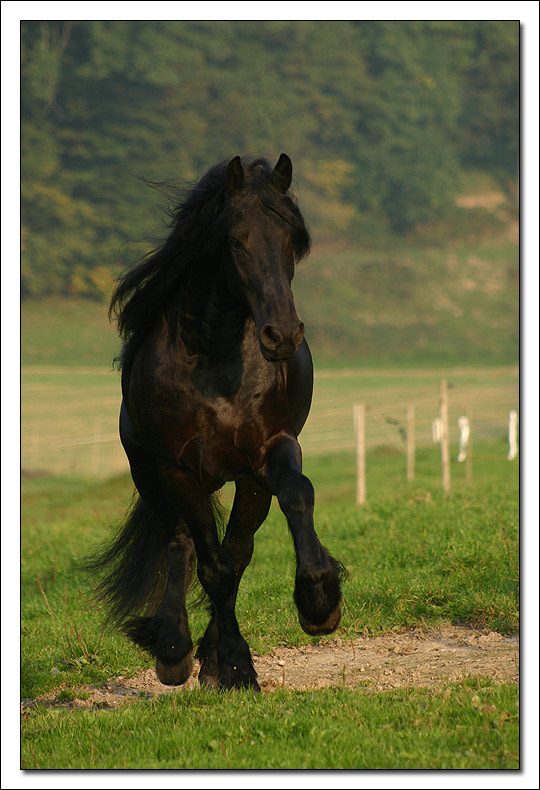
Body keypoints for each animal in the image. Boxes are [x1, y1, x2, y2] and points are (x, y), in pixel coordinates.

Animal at [90, 155, 344, 692]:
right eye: (236, 241)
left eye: (291, 239)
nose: (282, 335)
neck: (215, 361)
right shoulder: (179, 470)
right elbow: (211, 566)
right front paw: (235, 666)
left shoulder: (272, 450)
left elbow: (297, 496)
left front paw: (319, 600)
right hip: (150, 473)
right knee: (182, 544)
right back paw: (175, 649)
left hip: (247, 482)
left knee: (238, 548)